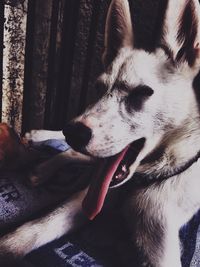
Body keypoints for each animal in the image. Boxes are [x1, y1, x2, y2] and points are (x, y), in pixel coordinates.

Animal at [1, 0, 200, 266]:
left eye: (141, 93)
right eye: (98, 88)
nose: (73, 133)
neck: (141, 178)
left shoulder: (162, 246)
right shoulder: (85, 200)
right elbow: (34, 228)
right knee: (75, 155)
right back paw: (40, 156)